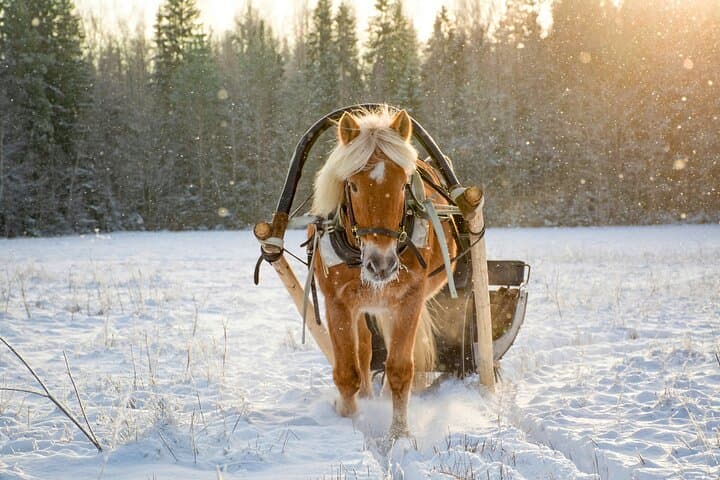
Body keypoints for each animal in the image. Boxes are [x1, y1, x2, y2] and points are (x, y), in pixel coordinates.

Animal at [309, 106, 458, 439]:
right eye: (352, 185)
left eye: (403, 184)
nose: (382, 264)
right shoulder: (337, 302)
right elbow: (347, 371)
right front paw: (350, 417)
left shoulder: (408, 299)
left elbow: (400, 369)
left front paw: (400, 435)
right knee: (364, 348)